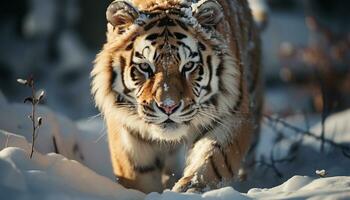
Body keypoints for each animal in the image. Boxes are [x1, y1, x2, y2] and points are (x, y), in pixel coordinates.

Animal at [91, 0, 262, 195]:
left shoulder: (231, 117)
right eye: (145, 66)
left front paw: (190, 188)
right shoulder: (126, 128)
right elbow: (138, 174)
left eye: (188, 66)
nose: (168, 106)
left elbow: (213, 160)